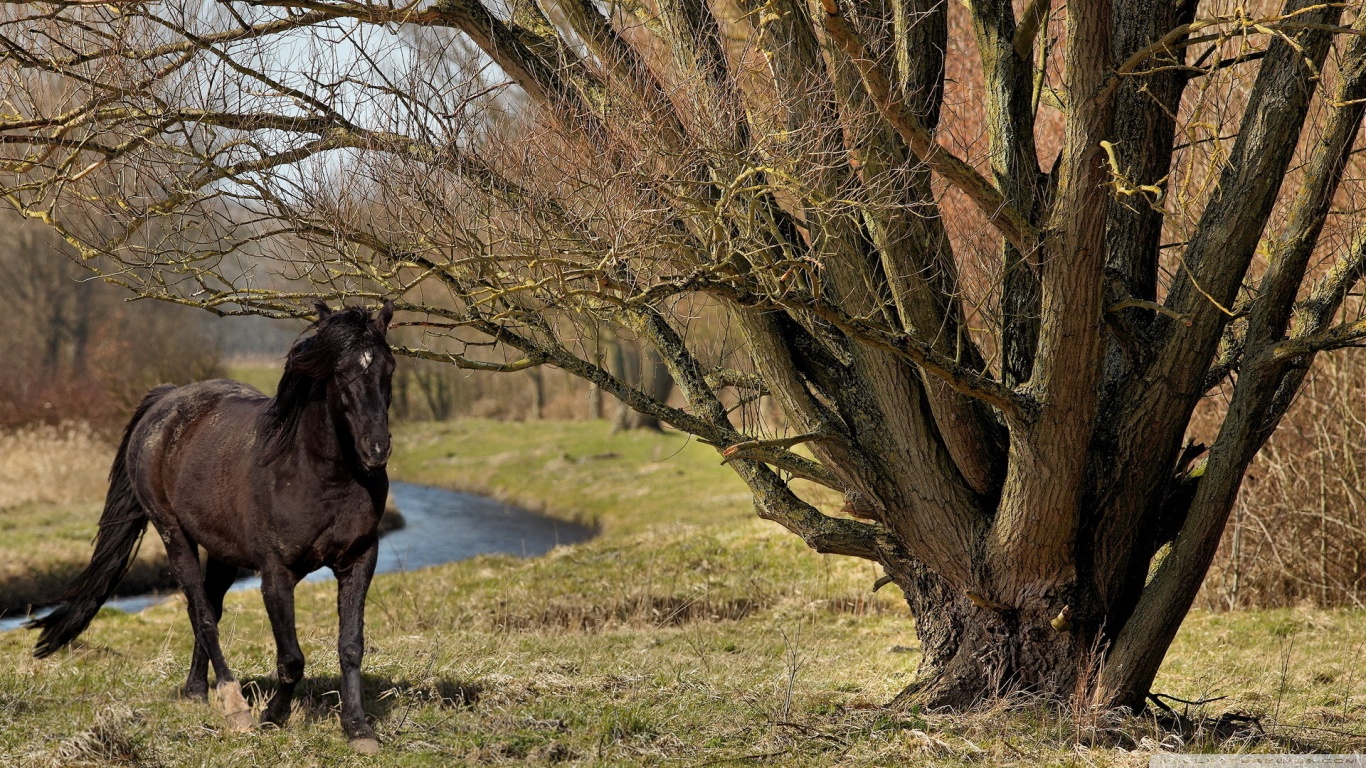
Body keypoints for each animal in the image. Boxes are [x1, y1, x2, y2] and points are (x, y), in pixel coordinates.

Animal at [30, 297, 396, 748]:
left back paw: (195, 690)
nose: (376, 448)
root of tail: (166, 399)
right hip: (174, 535)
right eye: (341, 371)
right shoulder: (276, 574)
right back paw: (234, 705)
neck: (317, 474)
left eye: (389, 367)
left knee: (208, 609)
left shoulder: (359, 560)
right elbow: (291, 657)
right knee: (201, 612)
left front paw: (358, 728)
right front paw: (272, 717)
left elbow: (351, 645)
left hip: (223, 553)